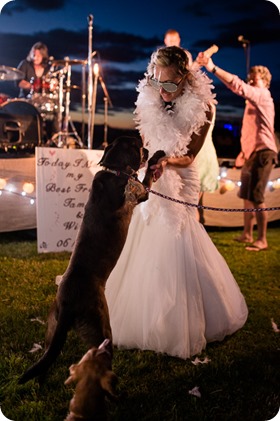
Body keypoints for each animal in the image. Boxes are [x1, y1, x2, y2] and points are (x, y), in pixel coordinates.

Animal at [19, 136, 165, 382]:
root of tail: (67, 304)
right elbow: (145, 179)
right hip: (101, 328)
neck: (114, 170)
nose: (147, 148)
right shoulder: (139, 191)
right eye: (138, 145)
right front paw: (156, 157)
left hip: (52, 329)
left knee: (46, 359)